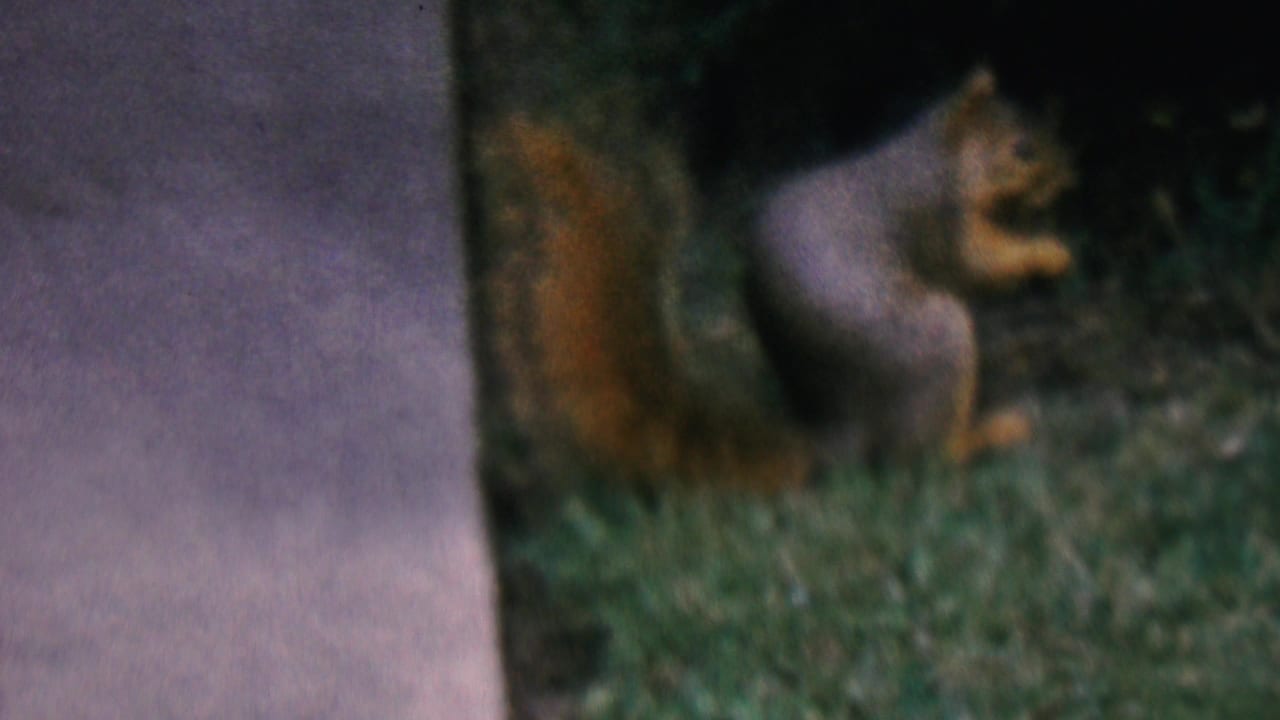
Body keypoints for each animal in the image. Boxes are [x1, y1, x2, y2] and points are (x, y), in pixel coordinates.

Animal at [477, 67, 1074, 491]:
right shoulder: (937, 218)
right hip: (939, 344)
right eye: (1022, 149)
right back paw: (990, 433)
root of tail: (840, 431)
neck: (938, 155)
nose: (1070, 179)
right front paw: (1047, 251)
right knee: (919, 459)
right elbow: (979, 264)